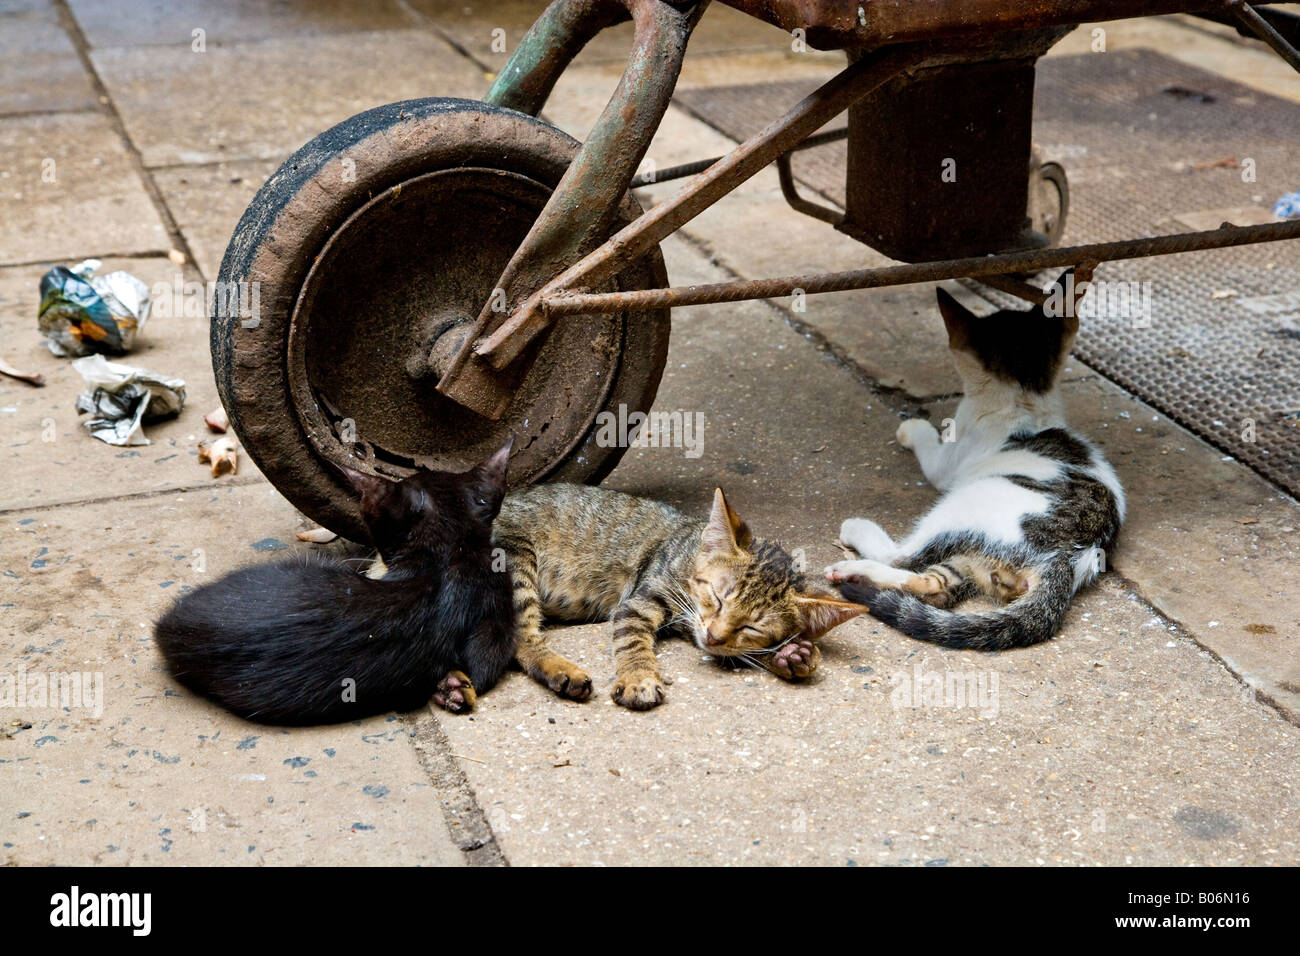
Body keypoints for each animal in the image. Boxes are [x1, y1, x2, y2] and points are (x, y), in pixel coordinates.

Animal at [491, 486, 868, 712]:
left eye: (751, 627)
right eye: (717, 598)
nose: (714, 636)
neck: (690, 554)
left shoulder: (693, 624)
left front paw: (791, 654)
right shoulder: (641, 600)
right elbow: (632, 641)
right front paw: (639, 677)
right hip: (513, 557)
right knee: (522, 638)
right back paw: (562, 669)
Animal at [826, 273, 1123, 655]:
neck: (1023, 401)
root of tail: (1069, 556)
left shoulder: (948, 462)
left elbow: (932, 451)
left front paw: (913, 429)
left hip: (964, 503)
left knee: (901, 556)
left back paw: (855, 545)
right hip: (971, 556)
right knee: (933, 586)